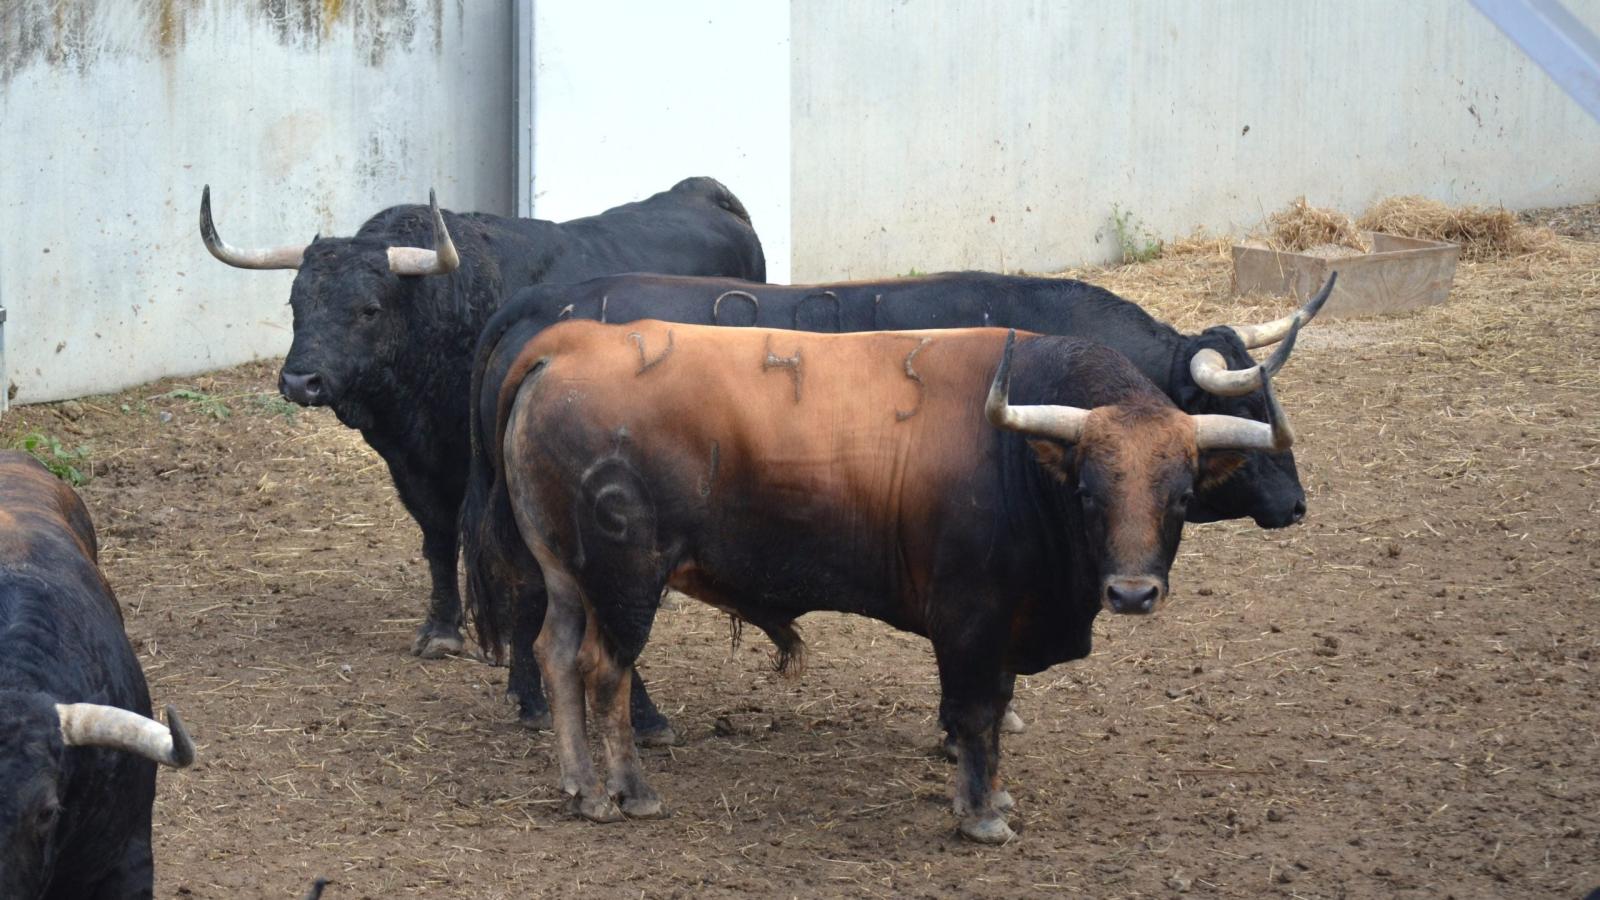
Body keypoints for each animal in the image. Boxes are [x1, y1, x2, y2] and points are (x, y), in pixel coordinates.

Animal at [201, 173, 768, 659]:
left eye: (369, 309)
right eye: (295, 303)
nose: (301, 381)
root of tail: (705, 193)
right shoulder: (409, 464)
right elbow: (437, 537)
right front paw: (442, 628)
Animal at [486, 318, 1299, 839]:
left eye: (1182, 496)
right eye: (1090, 492)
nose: (1132, 593)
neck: (1016, 458)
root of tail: (571, 344)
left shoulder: (1006, 625)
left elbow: (995, 711)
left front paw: (993, 798)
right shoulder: (970, 622)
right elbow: (975, 714)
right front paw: (980, 816)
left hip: (567, 577)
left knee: (558, 656)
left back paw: (580, 787)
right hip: (627, 582)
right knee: (606, 673)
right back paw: (628, 792)